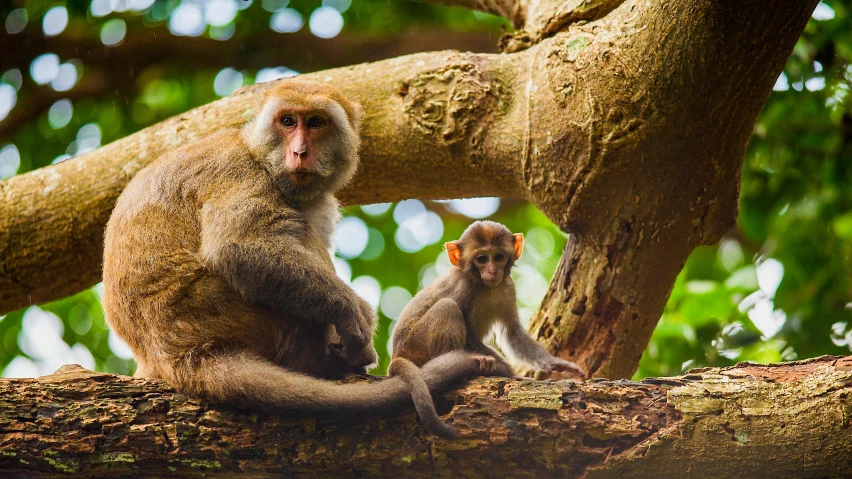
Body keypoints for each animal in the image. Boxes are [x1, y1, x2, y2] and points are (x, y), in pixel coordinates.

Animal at [105, 80, 492, 430]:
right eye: (288, 121)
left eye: (316, 122)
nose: (300, 151)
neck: (258, 156)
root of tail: (175, 353)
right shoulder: (237, 172)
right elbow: (239, 247)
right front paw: (355, 315)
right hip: (223, 310)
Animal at [392, 221, 584, 382]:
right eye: (482, 259)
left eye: (499, 257)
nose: (492, 271)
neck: (485, 286)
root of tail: (397, 356)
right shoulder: (462, 286)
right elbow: (470, 337)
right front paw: (509, 372)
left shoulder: (508, 287)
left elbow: (512, 333)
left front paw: (555, 363)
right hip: (416, 345)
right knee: (447, 306)